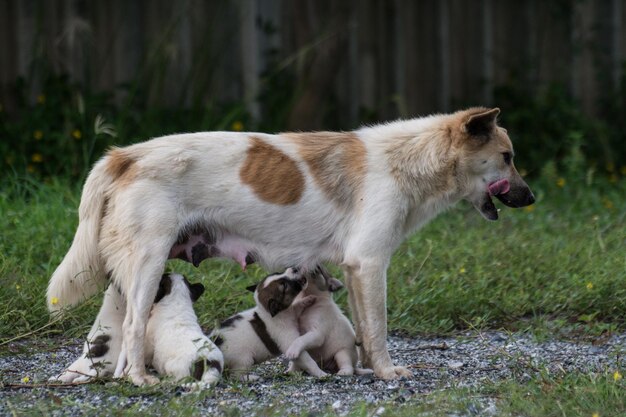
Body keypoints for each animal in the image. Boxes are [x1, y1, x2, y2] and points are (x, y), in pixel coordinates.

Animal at [46, 107, 532, 384]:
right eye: (507, 157)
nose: (531, 198)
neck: (408, 159)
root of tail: (124, 156)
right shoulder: (370, 264)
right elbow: (378, 330)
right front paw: (387, 373)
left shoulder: (356, 272)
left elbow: (361, 330)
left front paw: (359, 368)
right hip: (148, 265)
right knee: (132, 326)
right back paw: (140, 380)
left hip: (133, 273)